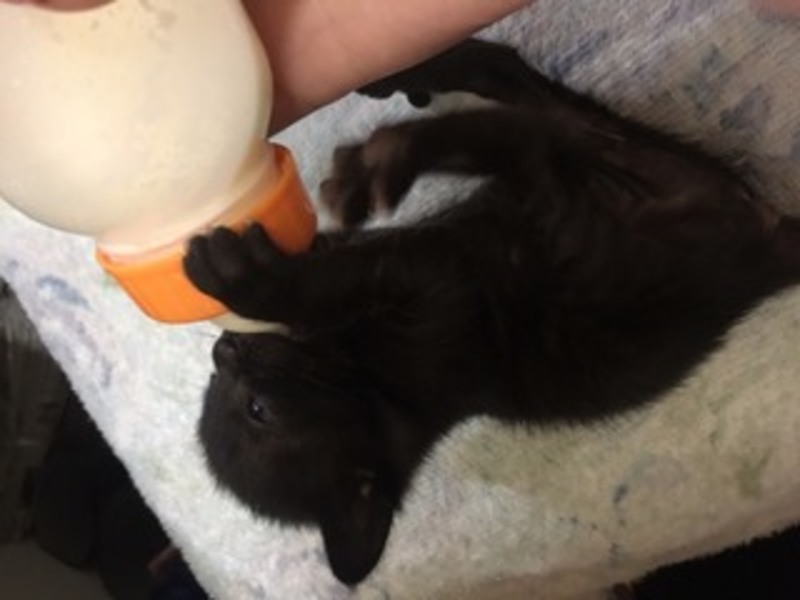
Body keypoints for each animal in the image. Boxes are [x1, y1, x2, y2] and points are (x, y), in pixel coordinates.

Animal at [182, 40, 800, 585]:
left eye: (254, 408)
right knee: (522, 128)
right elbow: (332, 279)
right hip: (601, 178)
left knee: (512, 100)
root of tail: (768, 247)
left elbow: (327, 268)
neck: (375, 388)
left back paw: (406, 99)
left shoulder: (408, 277)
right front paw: (249, 276)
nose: (224, 349)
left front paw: (251, 275)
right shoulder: (426, 283)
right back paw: (392, 149)